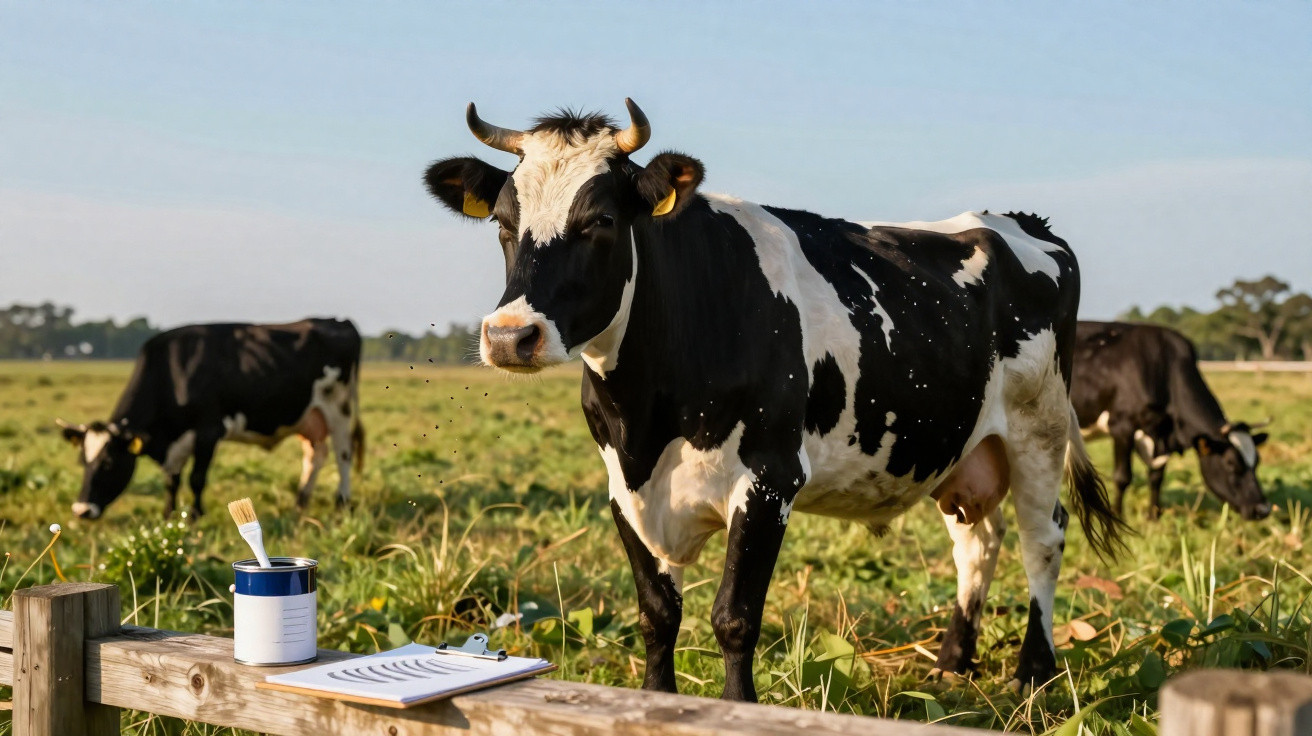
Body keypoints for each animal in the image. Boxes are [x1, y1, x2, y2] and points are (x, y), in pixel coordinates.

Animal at [57, 318, 364, 520]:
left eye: (108, 463)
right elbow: (172, 480)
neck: (173, 371)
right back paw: (300, 503)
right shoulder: (177, 440)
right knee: (315, 456)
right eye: (83, 461)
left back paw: (342, 503)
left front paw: (195, 514)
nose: (81, 510)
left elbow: (196, 478)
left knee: (343, 454)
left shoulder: (208, 431)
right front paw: (168, 514)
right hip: (308, 417)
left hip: (338, 407)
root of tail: (336, 320)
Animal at [422, 100, 1125, 700]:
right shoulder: (626, 487)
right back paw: (953, 662)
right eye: (503, 224)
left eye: (600, 221)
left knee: (1042, 537)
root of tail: (1021, 223)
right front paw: (656, 699)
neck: (648, 411)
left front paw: (738, 707)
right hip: (957, 448)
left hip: (1039, 428)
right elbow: (657, 614)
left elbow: (734, 617)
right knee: (978, 542)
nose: (510, 336)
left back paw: (1033, 670)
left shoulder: (767, 480)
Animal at [1072, 320, 1272, 521]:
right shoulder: (1122, 427)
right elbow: (1122, 477)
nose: (1263, 509)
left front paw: (1153, 516)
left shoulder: (1162, 435)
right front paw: (1118, 517)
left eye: (1257, 461)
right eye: (1231, 464)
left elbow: (1156, 477)